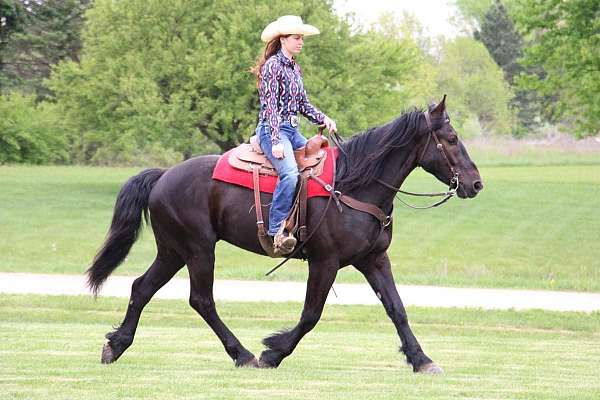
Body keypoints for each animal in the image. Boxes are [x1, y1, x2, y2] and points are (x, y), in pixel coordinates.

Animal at [88, 97, 482, 376]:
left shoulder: (374, 260)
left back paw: (116, 345)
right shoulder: (325, 262)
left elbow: (397, 309)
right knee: (201, 300)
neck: (355, 184)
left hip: (173, 251)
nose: (476, 183)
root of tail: (163, 175)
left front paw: (421, 359)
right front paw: (273, 351)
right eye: (451, 139)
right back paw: (243, 354)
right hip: (198, 249)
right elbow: (311, 314)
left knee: (142, 288)